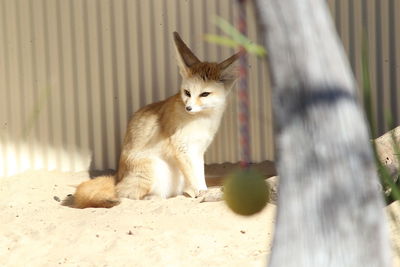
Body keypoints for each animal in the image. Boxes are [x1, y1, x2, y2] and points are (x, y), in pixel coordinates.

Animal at [72, 32, 239, 209]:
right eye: (187, 93)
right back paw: (154, 198)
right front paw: (202, 193)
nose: (188, 108)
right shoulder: (180, 147)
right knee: (127, 194)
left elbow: (199, 176)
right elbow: (193, 177)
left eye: (204, 94)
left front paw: (204, 191)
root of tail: (118, 176)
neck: (203, 120)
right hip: (154, 169)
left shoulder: (198, 150)